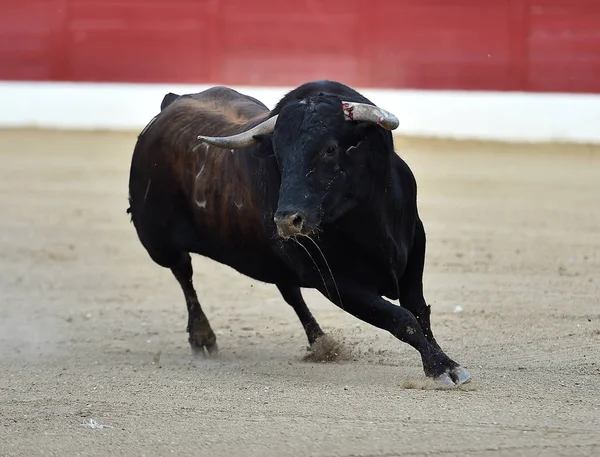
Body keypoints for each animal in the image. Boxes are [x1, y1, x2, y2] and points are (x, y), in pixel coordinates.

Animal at [129, 79, 472, 384]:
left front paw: (445, 361)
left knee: (289, 292)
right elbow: (400, 318)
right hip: (159, 244)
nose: (286, 220)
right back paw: (203, 338)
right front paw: (441, 368)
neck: (367, 217)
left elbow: (418, 310)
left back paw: (320, 342)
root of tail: (170, 104)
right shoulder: (333, 280)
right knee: (184, 275)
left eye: (330, 150)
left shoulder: (414, 240)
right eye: (278, 154)